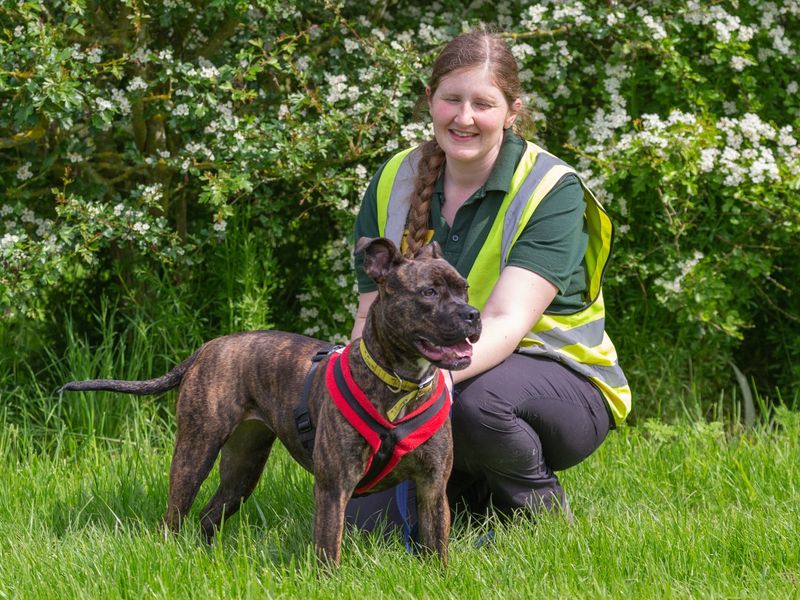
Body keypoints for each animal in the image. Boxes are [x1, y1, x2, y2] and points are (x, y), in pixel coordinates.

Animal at [59, 236, 482, 568]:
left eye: (464, 289)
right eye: (428, 293)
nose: (473, 314)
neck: (401, 387)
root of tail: (207, 348)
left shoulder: (432, 488)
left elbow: (436, 545)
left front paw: (438, 579)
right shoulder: (334, 488)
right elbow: (328, 549)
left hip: (242, 469)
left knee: (208, 516)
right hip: (195, 452)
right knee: (174, 517)